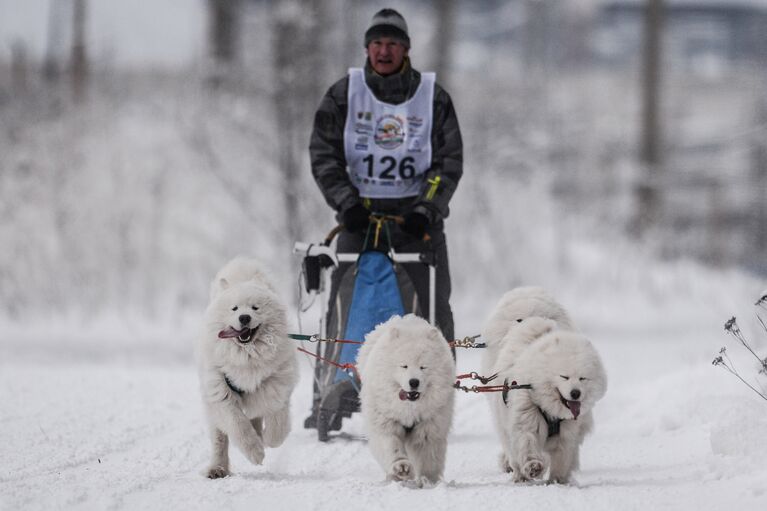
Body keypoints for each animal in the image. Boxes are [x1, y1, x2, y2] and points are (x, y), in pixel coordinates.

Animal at [195, 258, 296, 478]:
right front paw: (255, 452)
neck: (247, 356)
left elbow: (277, 419)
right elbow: (238, 425)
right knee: (220, 439)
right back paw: (217, 468)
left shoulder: (277, 384)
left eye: (255, 308)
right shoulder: (221, 392)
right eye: (234, 309)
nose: (244, 317)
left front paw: (270, 439)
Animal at [356, 314, 456, 486]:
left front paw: (427, 481)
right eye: (404, 366)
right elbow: (392, 446)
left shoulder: (428, 428)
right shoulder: (385, 422)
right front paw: (401, 467)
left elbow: (428, 457)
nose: (414, 382)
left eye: (423, 367)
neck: (409, 409)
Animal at [484, 288, 608, 484]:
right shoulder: (527, 417)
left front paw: (557, 480)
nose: (575, 393)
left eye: (583, 378)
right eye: (564, 376)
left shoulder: (568, 431)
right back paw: (519, 474)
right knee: (512, 449)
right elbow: (527, 443)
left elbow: (562, 458)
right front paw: (533, 467)